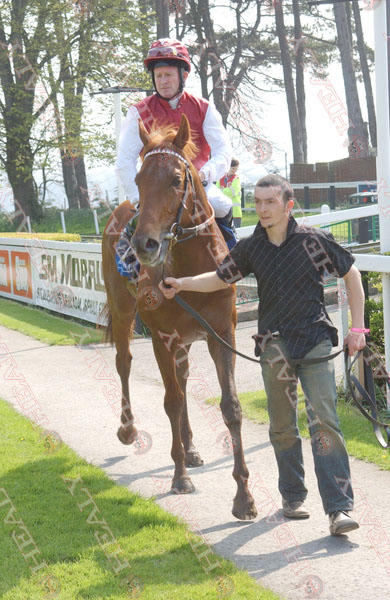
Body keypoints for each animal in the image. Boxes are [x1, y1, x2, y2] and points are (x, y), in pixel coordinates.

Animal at [102, 115, 258, 516]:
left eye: (176, 179)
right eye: (139, 178)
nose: (144, 244)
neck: (192, 270)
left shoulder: (222, 335)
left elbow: (230, 406)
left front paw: (243, 496)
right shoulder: (162, 337)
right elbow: (170, 401)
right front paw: (179, 477)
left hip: (187, 340)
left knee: (184, 377)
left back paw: (190, 448)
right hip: (124, 313)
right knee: (123, 362)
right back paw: (128, 428)